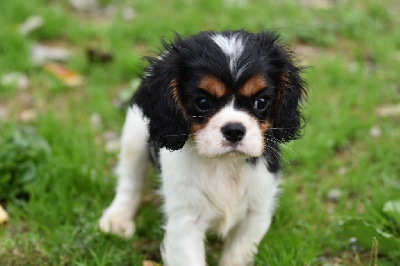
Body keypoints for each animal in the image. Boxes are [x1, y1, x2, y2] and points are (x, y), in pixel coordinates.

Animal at [100, 30, 306, 266]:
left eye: (261, 101)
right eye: (203, 103)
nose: (234, 130)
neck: (225, 165)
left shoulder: (256, 213)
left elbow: (237, 255)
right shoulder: (186, 220)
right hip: (133, 138)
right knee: (130, 181)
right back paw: (117, 219)